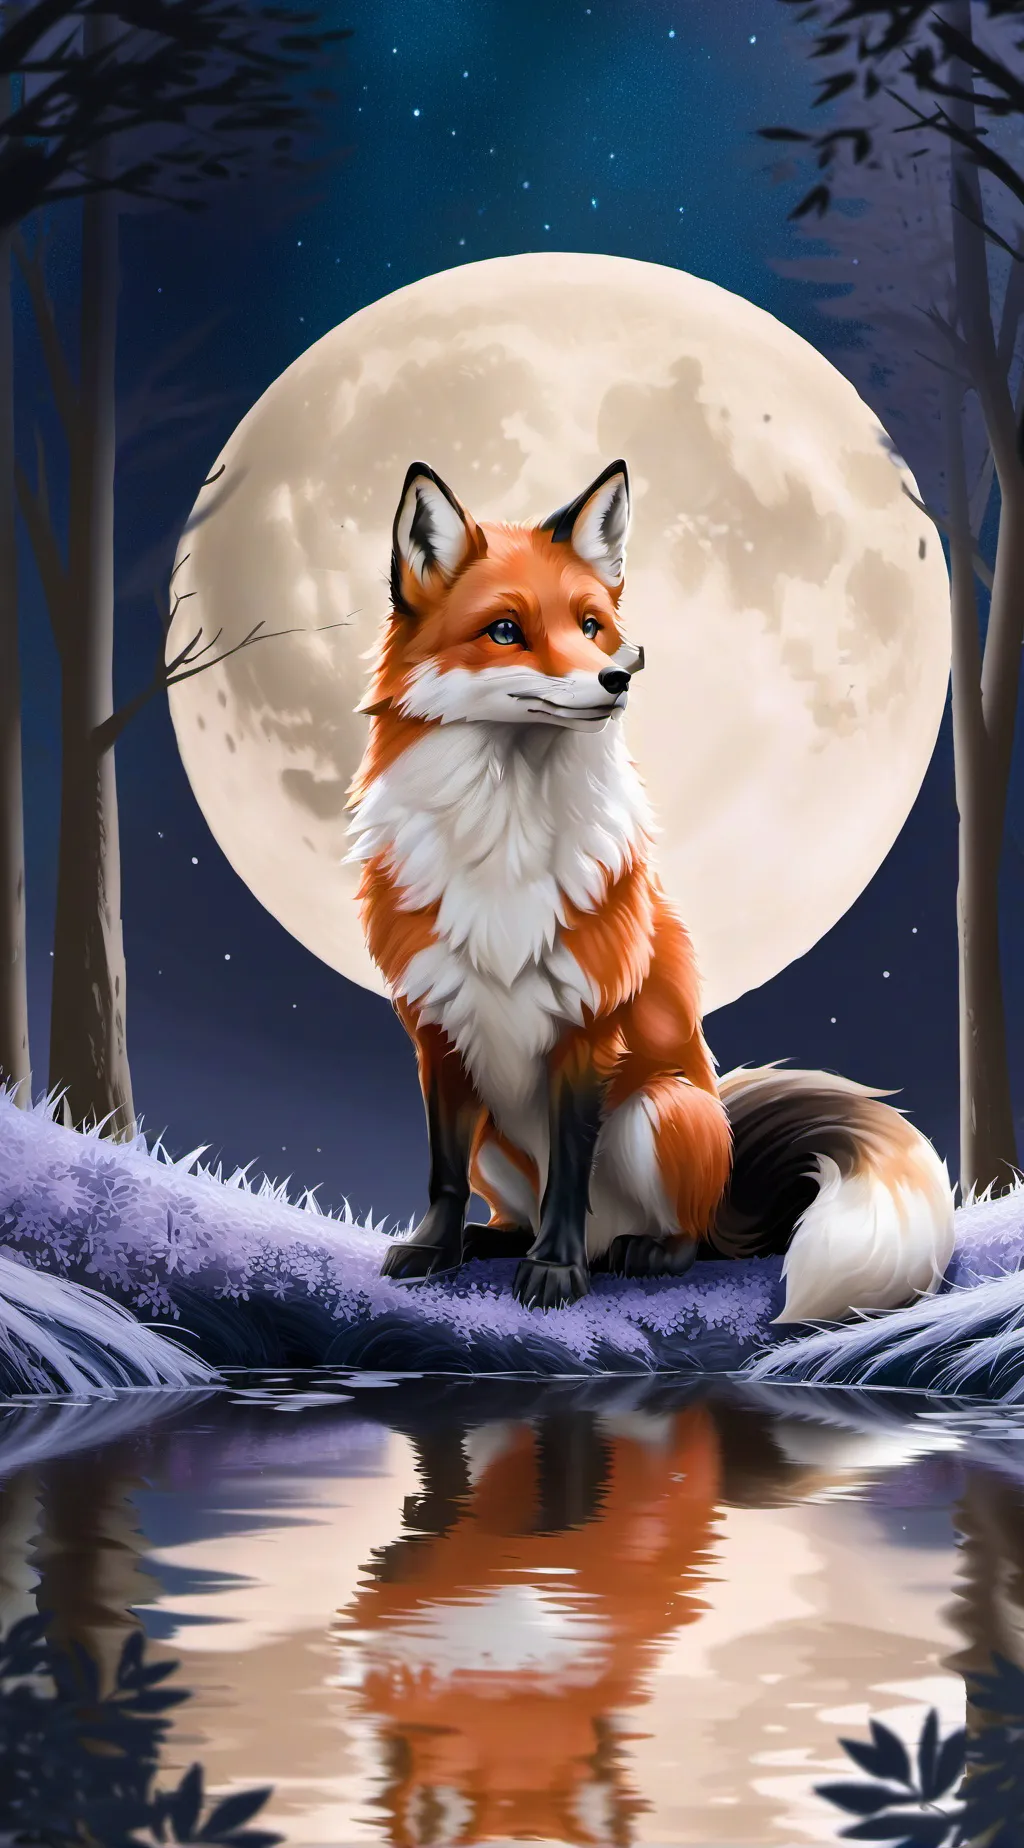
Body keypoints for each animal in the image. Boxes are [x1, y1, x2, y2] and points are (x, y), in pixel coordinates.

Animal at [346, 456, 956, 1319]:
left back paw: (633, 1253)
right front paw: (434, 1249)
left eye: (590, 624)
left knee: (677, 1237)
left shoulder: (588, 1028)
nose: (617, 675)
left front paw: (554, 1272)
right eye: (505, 630)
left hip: (658, 1110)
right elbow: (440, 1170)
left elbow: (568, 1176)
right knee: (507, 1204)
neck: (504, 842)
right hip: (498, 1138)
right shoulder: (434, 1028)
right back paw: (492, 1240)